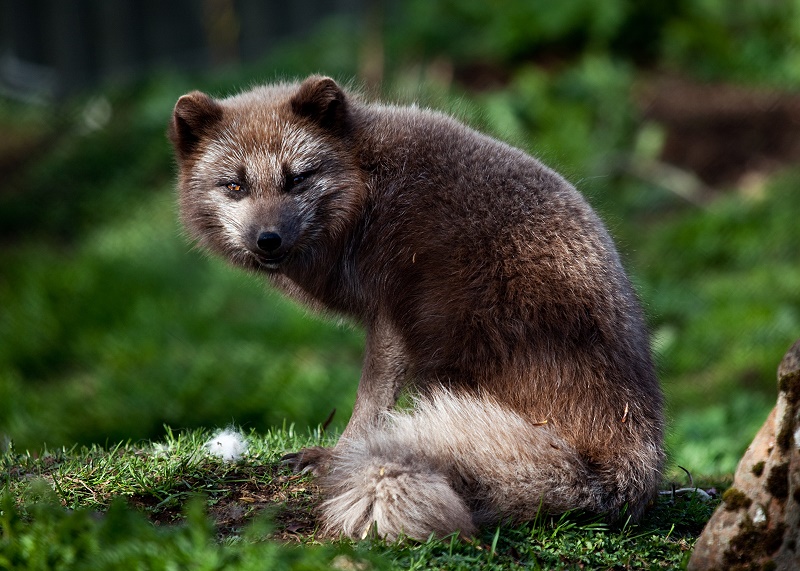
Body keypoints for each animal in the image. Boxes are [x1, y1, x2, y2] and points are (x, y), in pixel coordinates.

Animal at [170, 75, 668, 540]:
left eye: (296, 178)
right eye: (235, 185)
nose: (267, 239)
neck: (368, 186)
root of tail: (635, 455)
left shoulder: (391, 317)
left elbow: (371, 401)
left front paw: (337, 456)